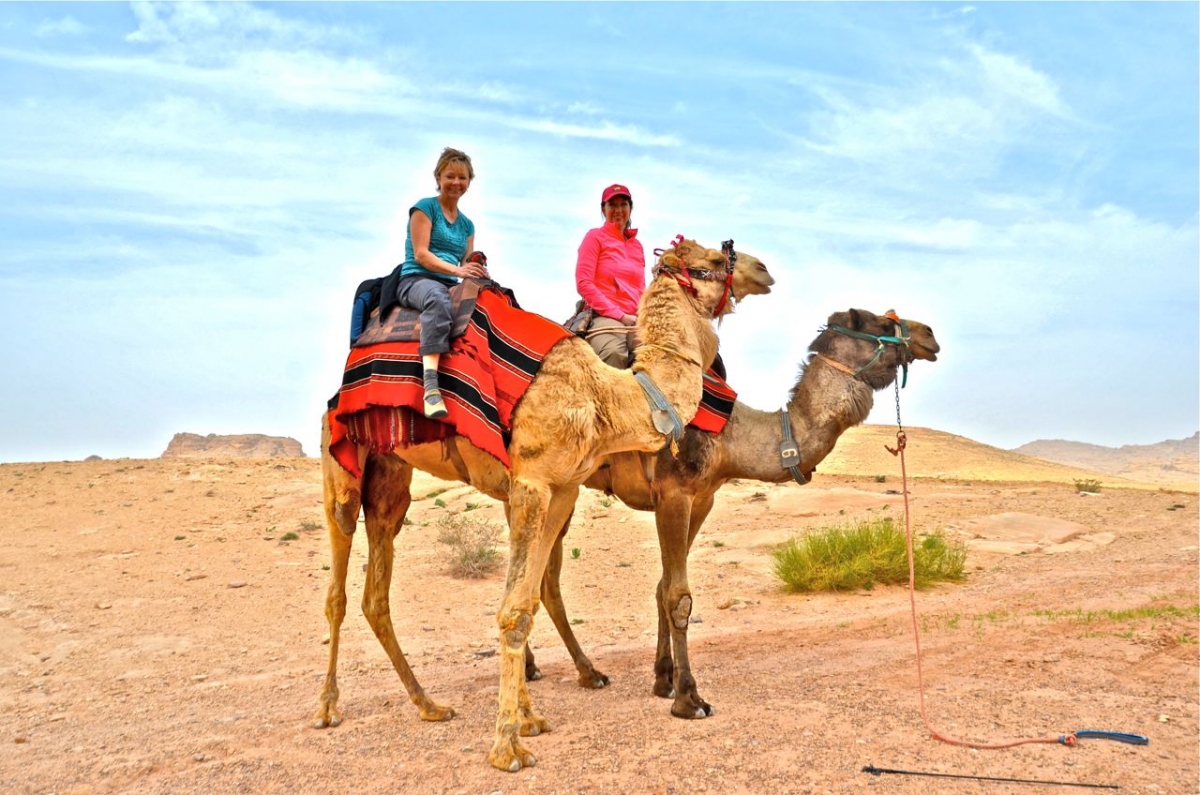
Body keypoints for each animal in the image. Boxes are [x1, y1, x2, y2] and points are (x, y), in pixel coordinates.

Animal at [312, 239, 774, 772]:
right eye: (715, 261)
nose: (764, 270)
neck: (605, 396)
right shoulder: (531, 482)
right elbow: (513, 609)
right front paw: (506, 747)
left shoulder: (564, 489)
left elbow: (530, 600)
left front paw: (528, 721)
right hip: (341, 463)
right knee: (338, 585)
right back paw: (327, 709)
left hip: (391, 477)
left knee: (376, 593)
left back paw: (429, 705)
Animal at [524, 308, 940, 720]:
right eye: (882, 322)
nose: (930, 335)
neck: (729, 436)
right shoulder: (673, 491)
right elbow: (678, 595)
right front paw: (689, 699)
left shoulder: (703, 499)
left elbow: (662, 586)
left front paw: (663, 680)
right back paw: (581, 673)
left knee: (543, 578)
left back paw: (555, 669)